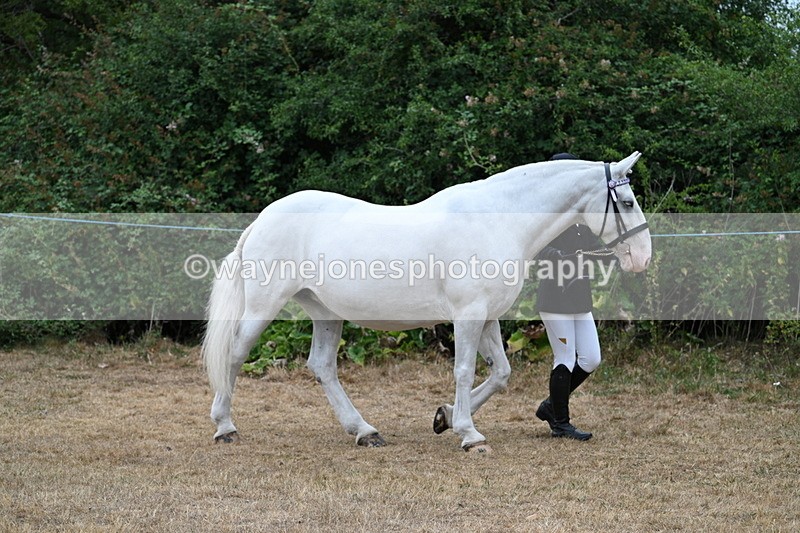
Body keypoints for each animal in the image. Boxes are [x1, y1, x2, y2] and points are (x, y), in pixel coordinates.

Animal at [202, 151, 651, 453]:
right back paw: (225, 427)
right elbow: (464, 371)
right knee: (235, 355)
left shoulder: (487, 318)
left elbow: (501, 373)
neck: (496, 220)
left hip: (326, 313)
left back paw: (365, 432)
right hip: (263, 307)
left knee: (322, 367)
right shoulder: (468, 316)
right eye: (628, 202)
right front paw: (469, 434)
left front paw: (446, 417)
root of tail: (261, 220)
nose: (643, 257)